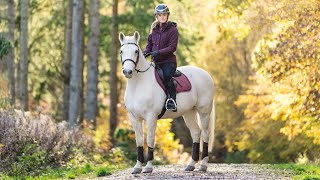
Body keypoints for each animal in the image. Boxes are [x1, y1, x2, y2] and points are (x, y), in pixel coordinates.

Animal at [119, 31, 216, 174]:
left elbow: (150, 139)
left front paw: (148, 167)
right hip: (189, 113)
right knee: (196, 133)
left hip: (203, 112)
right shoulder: (134, 118)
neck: (138, 84)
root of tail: (206, 74)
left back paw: (203, 165)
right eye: (121, 51)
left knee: (205, 133)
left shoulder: (151, 117)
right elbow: (139, 141)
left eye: (136, 51)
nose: (127, 72)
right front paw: (137, 167)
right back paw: (191, 165)